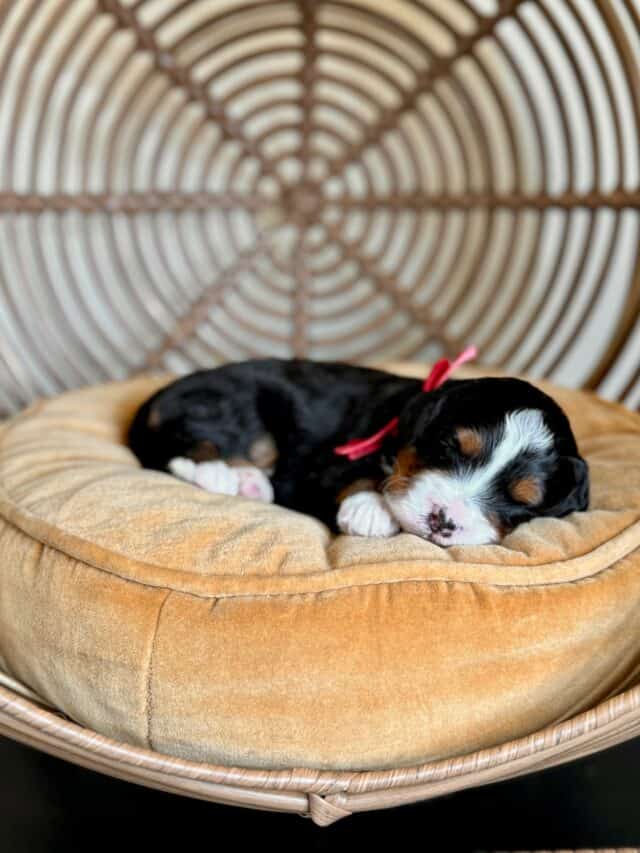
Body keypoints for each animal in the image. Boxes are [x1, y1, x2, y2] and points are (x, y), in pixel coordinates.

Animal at [127, 354, 588, 544]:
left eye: (522, 502)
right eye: (447, 448)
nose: (442, 520)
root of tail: (159, 396)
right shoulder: (326, 462)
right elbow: (358, 472)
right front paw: (370, 509)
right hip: (229, 407)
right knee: (185, 445)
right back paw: (224, 475)